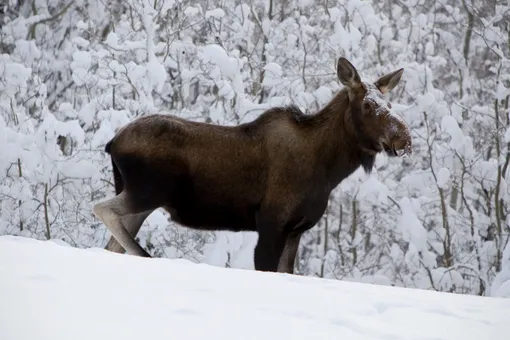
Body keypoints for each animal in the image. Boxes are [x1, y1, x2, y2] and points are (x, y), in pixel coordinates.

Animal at [91, 55, 412, 274]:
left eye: (390, 104)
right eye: (368, 105)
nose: (405, 138)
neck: (328, 170)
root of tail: (112, 142)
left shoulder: (296, 230)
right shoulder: (272, 222)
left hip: (142, 201)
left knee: (112, 242)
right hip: (147, 192)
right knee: (102, 209)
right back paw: (146, 254)